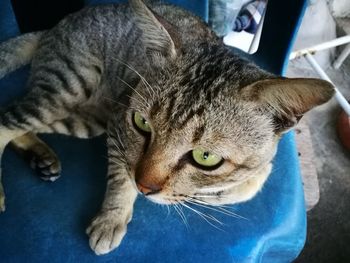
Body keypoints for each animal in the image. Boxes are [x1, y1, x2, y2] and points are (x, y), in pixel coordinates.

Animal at [0, 0, 334, 256]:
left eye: (205, 157)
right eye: (142, 123)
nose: (145, 187)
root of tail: (54, 27)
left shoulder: (256, 174)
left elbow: (243, 186)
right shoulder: (119, 127)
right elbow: (120, 178)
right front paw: (112, 218)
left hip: (86, 120)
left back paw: (41, 157)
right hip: (66, 88)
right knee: (6, 121)